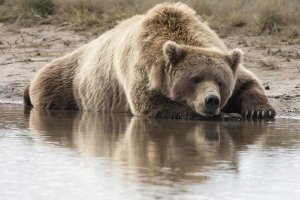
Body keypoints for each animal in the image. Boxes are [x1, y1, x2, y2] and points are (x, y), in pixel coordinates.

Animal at [24, 2, 276, 119]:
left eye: (221, 82)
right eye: (194, 79)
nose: (212, 100)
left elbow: (247, 82)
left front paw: (260, 111)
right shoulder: (142, 69)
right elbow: (152, 104)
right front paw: (227, 115)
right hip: (68, 82)